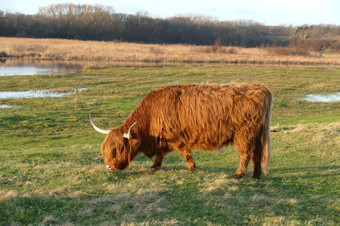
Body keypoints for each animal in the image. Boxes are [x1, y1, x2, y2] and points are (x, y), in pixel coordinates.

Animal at [89, 83, 272, 178]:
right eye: (105, 150)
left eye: (118, 149)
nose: (108, 166)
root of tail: (261, 88)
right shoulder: (163, 139)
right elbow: (161, 154)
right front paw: (155, 166)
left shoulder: (176, 137)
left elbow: (185, 153)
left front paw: (191, 168)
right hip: (257, 135)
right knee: (257, 154)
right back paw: (256, 175)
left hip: (244, 134)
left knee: (245, 154)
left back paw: (239, 174)